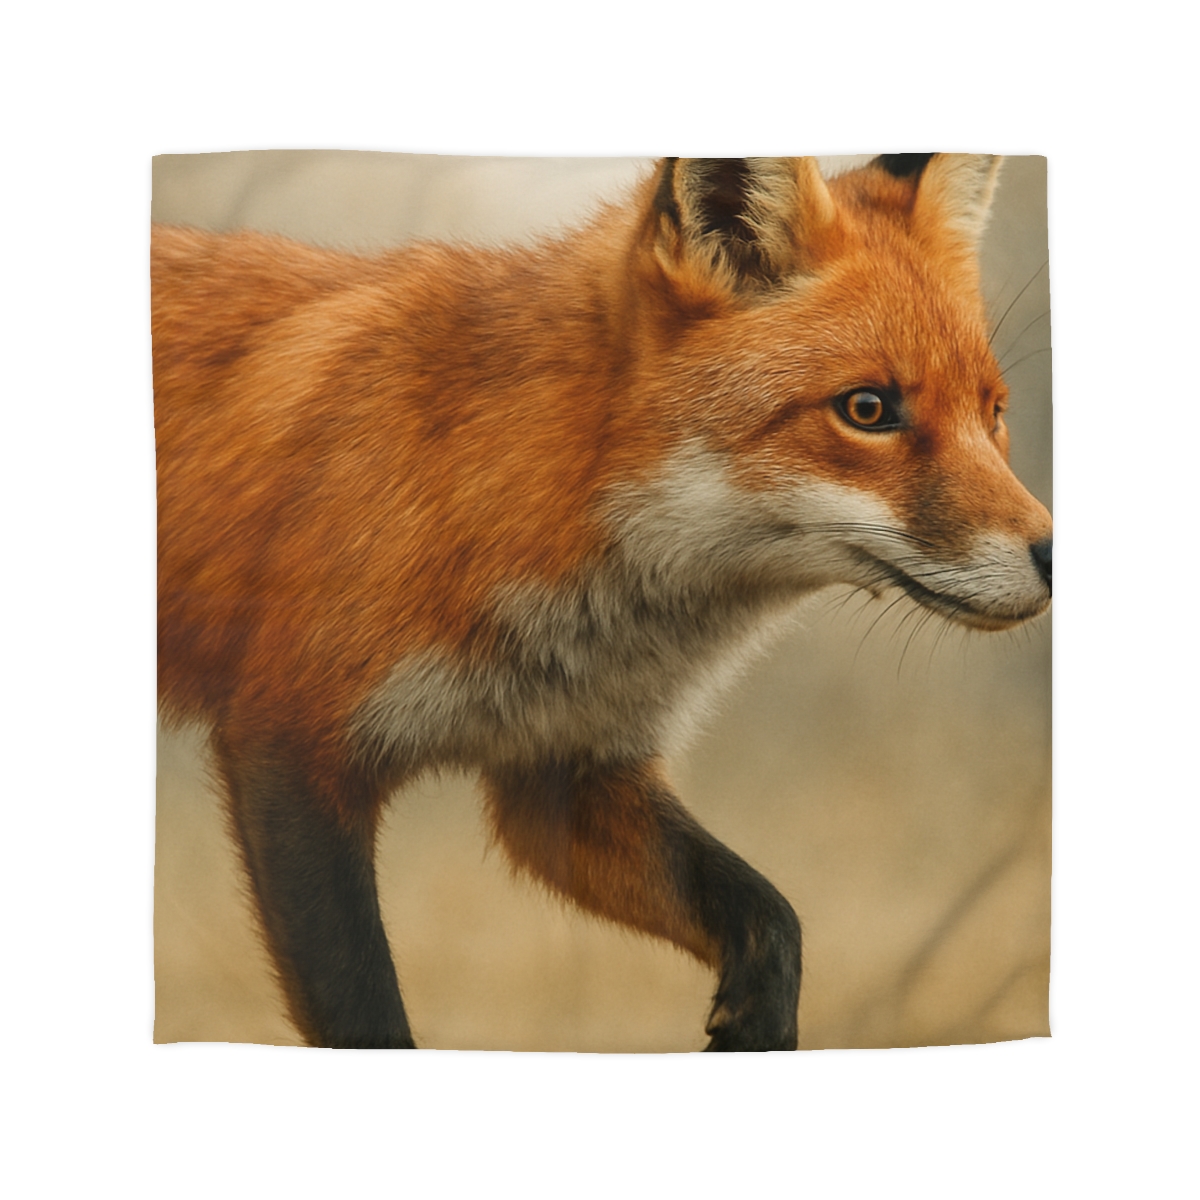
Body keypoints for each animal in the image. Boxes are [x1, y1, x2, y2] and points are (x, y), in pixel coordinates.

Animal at [153, 154, 1052, 1051]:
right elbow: (369, 1014)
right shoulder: (290, 747)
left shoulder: (565, 770)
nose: (1053, 554)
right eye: (868, 409)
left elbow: (769, 914)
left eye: (994, 413)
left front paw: (755, 1025)